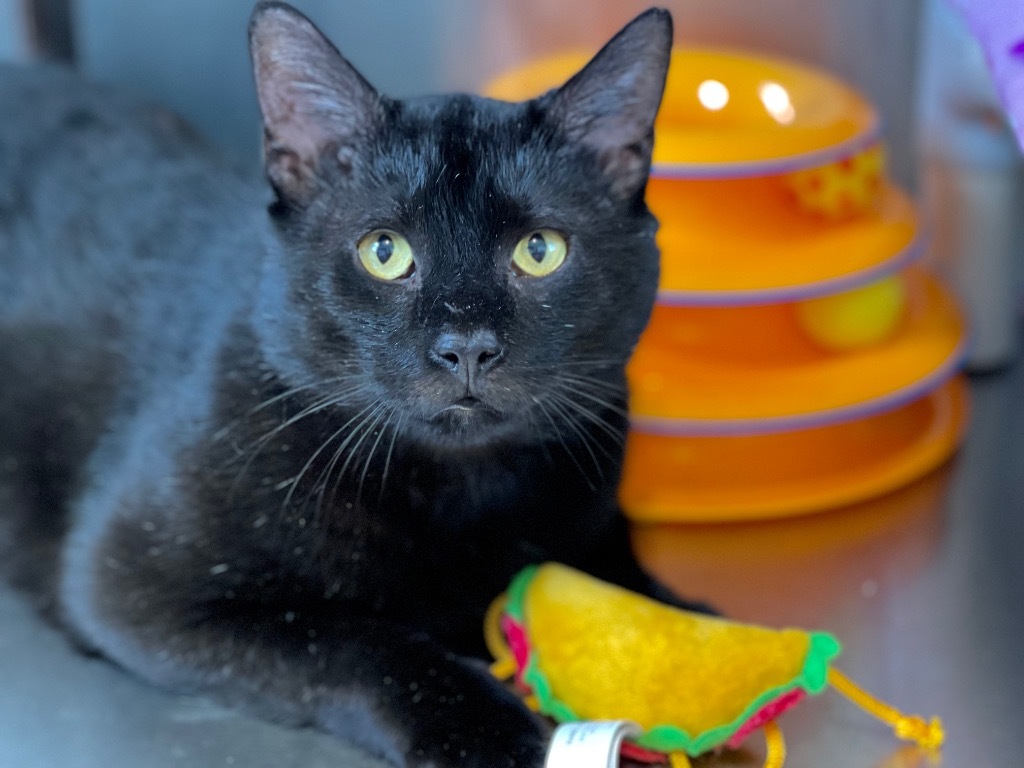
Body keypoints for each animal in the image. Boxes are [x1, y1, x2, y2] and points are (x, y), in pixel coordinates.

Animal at [0, 3, 704, 765]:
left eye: (540, 251)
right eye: (384, 252)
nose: (466, 346)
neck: (458, 494)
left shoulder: (592, 514)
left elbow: (634, 592)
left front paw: (694, 637)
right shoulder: (133, 582)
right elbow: (349, 639)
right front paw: (480, 727)